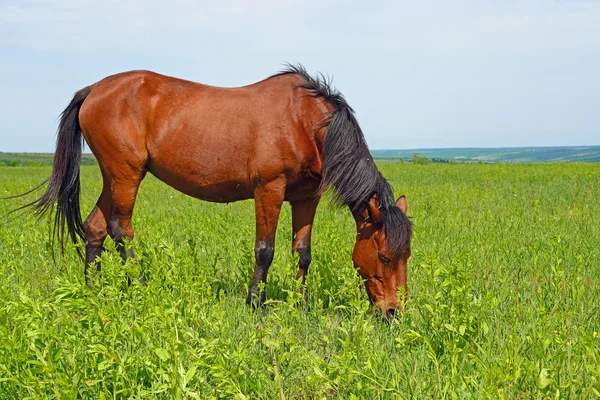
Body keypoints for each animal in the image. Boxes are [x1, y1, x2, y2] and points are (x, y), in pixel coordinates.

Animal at [23, 64, 410, 318]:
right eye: (384, 256)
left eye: (406, 255)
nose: (393, 312)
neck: (304, 119)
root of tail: (93, 89)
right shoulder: (269, 189)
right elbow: (265, 251)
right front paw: (256, 304)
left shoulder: (305, 197)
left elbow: (302, 253)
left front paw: (299, 304)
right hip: (125, 174)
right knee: (121, 230)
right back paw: (142, 288)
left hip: (113, 175)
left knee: (95, 227)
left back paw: (94, 290)